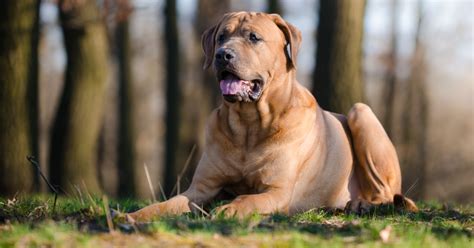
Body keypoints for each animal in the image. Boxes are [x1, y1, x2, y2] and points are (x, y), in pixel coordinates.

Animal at [125, 11, 414, 221]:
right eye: (221, 37)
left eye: (254, 37)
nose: (222, 55)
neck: (249, 125)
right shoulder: (201, 188)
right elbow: (170, 202)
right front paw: (135, 215)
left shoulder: (277, 191)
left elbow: (249, 198)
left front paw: (230, 208)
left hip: (360, 112)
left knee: (386, 193)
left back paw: (361, 204)